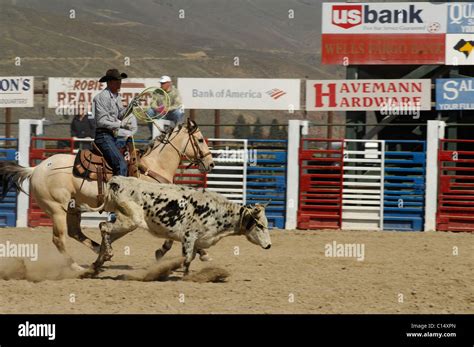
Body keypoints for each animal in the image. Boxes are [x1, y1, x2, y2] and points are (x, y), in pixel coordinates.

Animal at [0, 120, 213, 272]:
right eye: (200, 140)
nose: (210, 163)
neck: (153, 167)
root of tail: (36, 168)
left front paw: (201, 252)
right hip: (56, 209)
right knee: (59, 239)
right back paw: (77, 266)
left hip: (73, 209)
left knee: (75, 233)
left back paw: (97, 253)